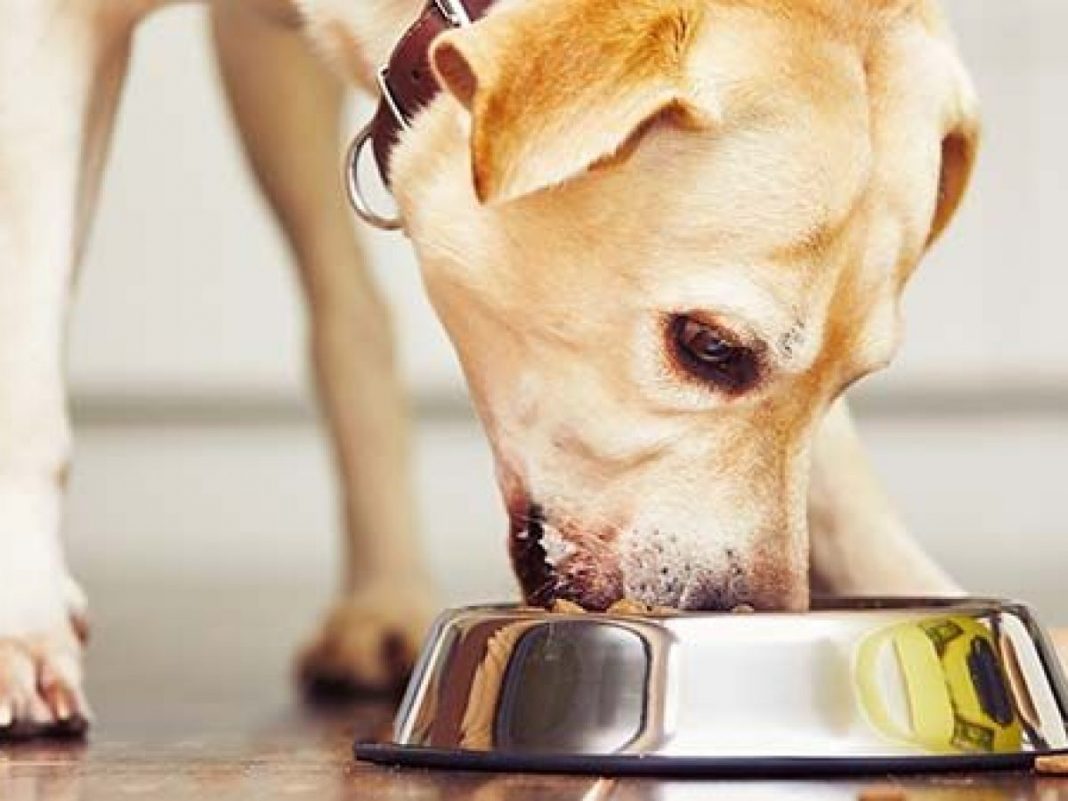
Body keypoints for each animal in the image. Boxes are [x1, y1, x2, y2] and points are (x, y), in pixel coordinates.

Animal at [0, 0, 986, 739]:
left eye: (851, 380)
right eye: (707, 345)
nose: (752, 614)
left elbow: (841, 467)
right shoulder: (50, 36)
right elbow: (29, 373)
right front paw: (24, 619)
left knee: (353, 321)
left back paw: (384, 598)